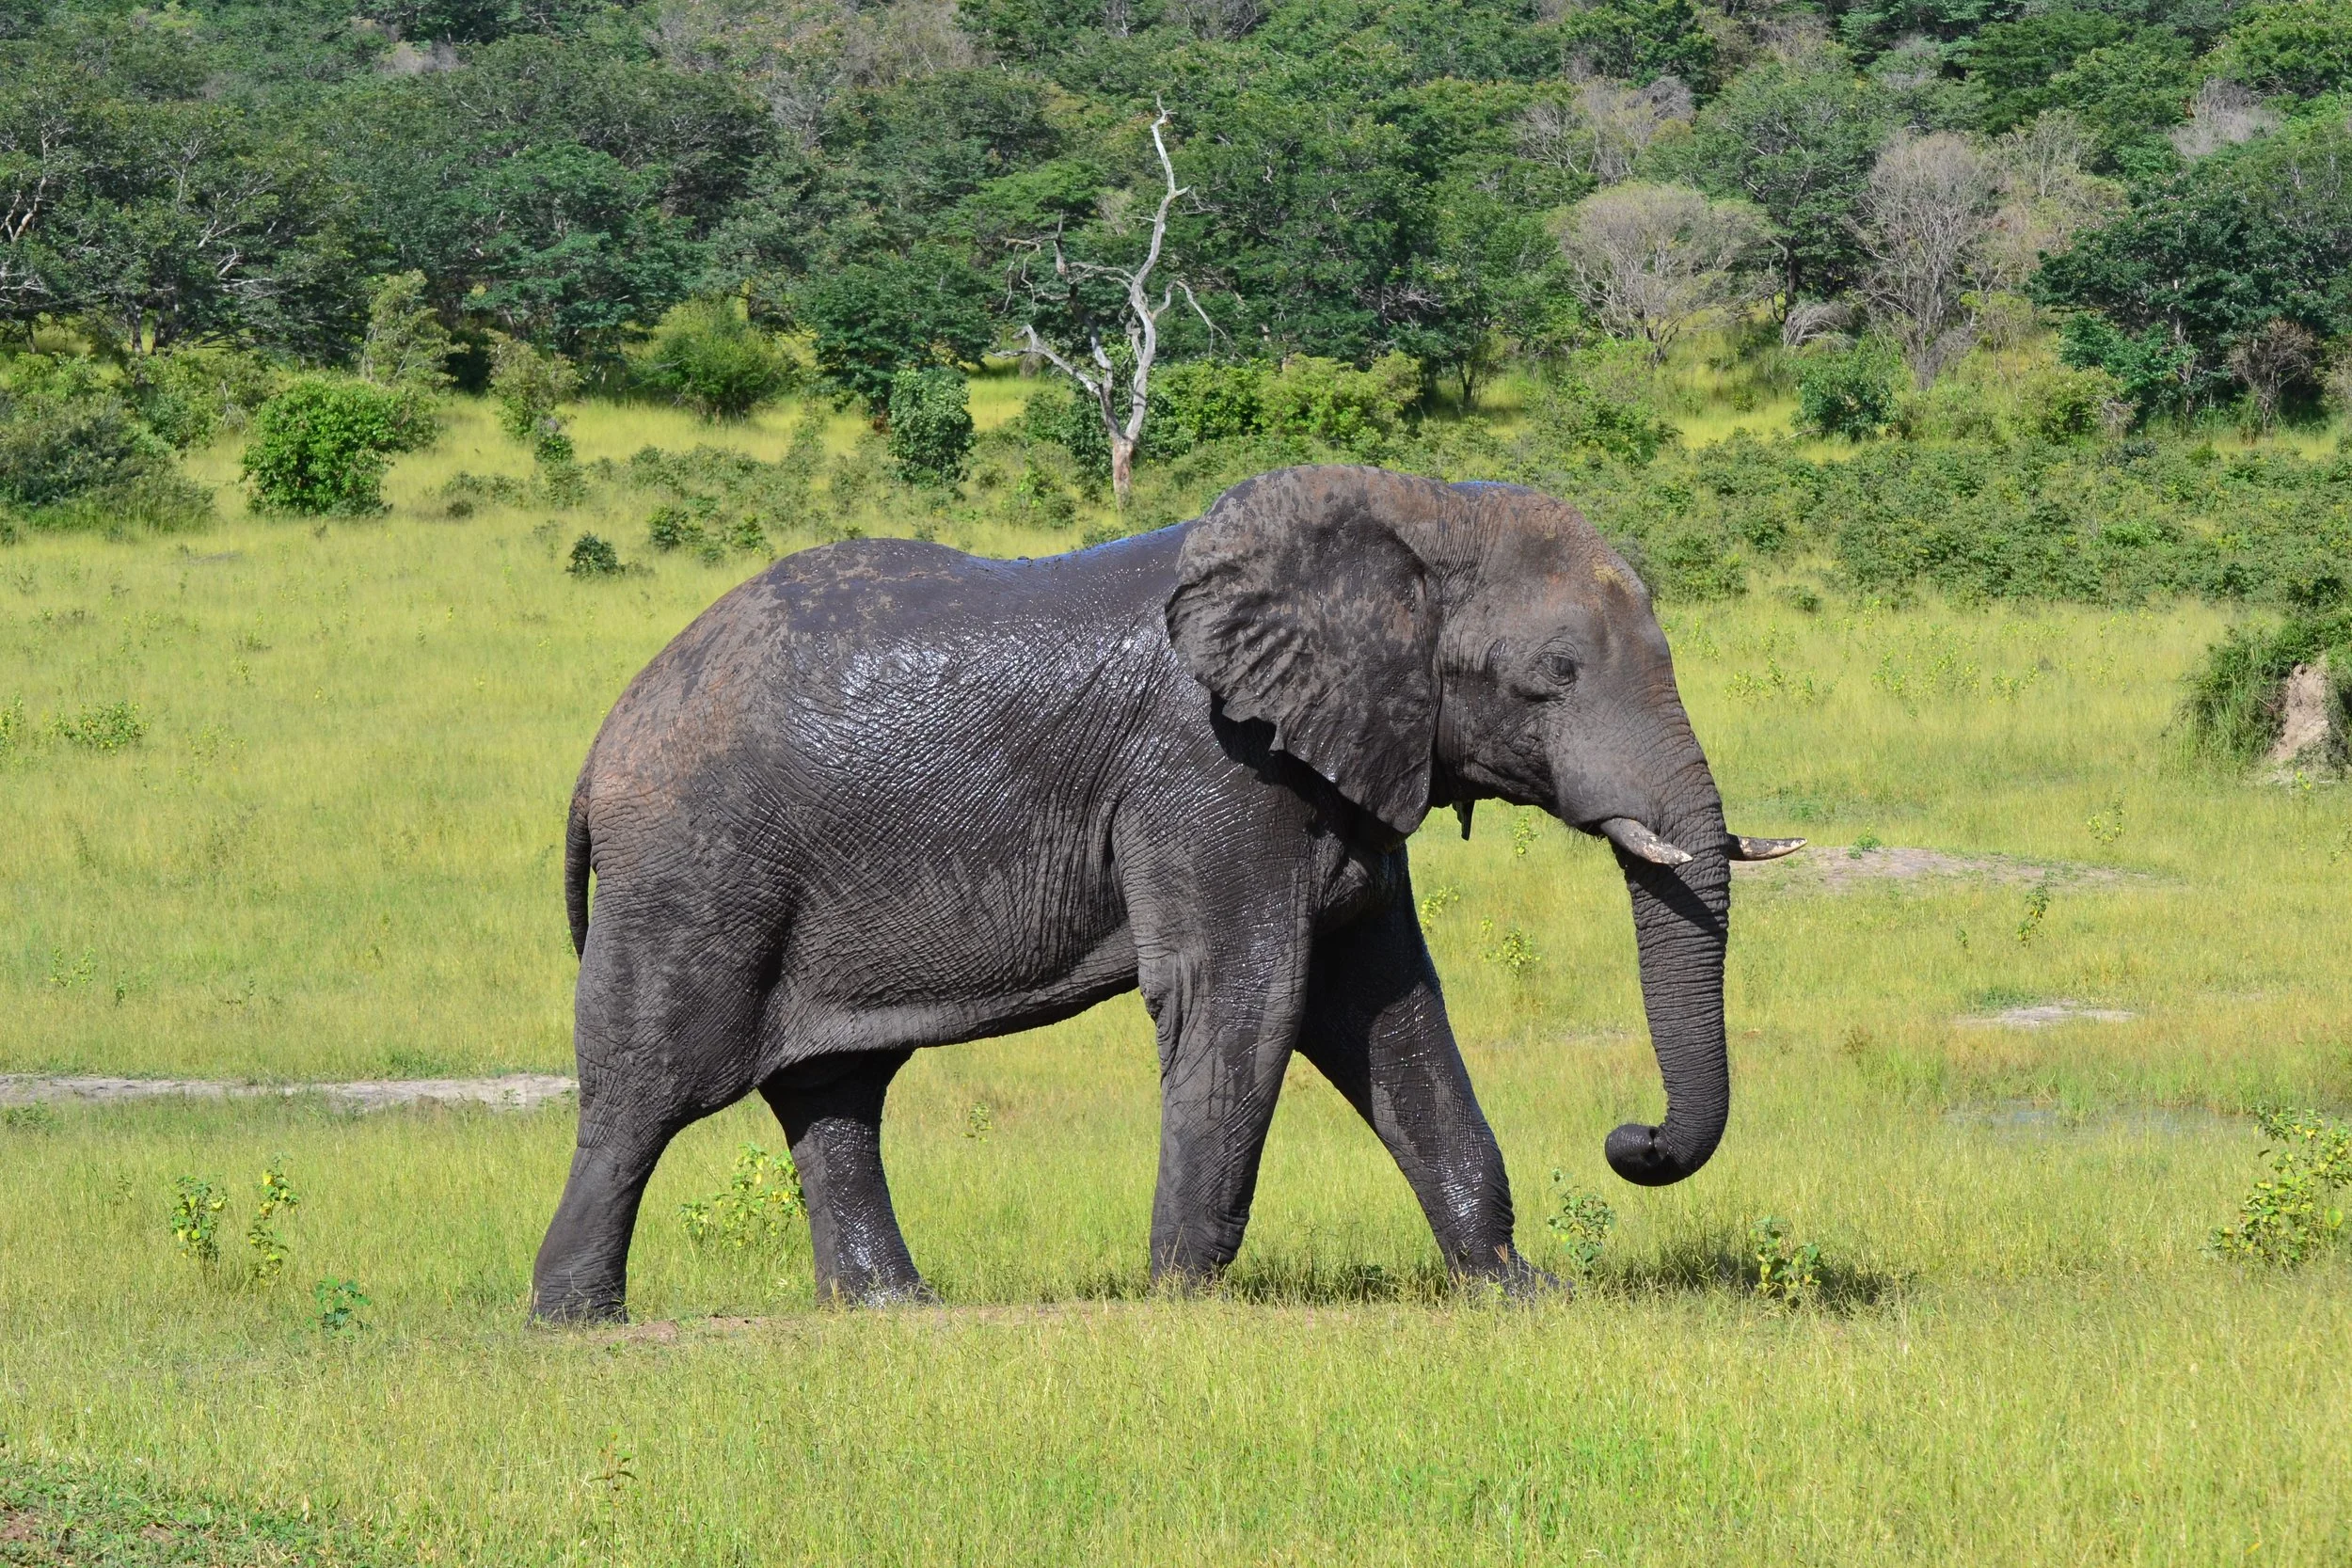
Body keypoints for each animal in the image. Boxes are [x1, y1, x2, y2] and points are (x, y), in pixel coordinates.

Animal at [531, 464, 1799, 1322]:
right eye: (1553, 677)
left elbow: (1386, 1010)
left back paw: (896, 1309)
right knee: (651, 1084)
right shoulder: (1210, 768)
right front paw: (1182, 1300)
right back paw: (577, 1323)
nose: (1631, 1138)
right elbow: (1246, 995)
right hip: (694, 873)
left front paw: (1516, 1294)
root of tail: (599, 748)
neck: (1413, 512)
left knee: (836, 1087)